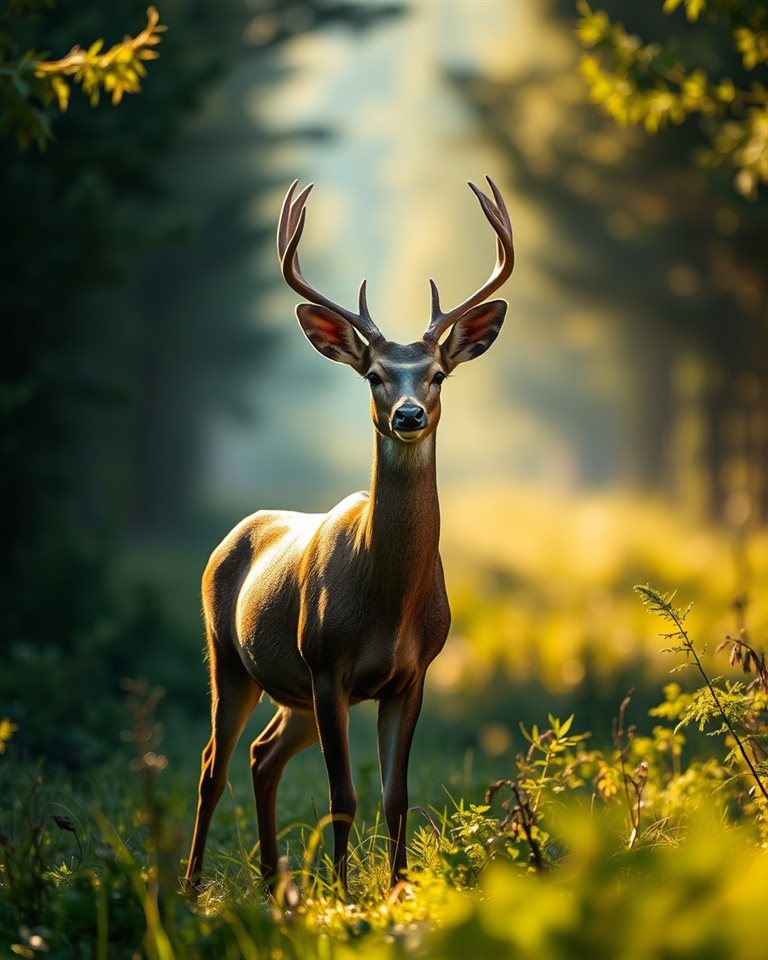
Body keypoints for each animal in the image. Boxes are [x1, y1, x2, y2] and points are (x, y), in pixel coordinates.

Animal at [184, 176, 514, 895]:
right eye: (374, 374)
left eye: (438, 374)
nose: (409, 414)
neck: (386, 604)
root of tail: (235, 533)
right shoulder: (328, 663)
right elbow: (343, 797)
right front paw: (342, 897)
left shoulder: (413, 674)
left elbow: (396, 796)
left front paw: (395, 891)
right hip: (231, 657)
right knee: (211, 764)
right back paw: (190, 889)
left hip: (293, 694)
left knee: (262, 756)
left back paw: (273, 883)